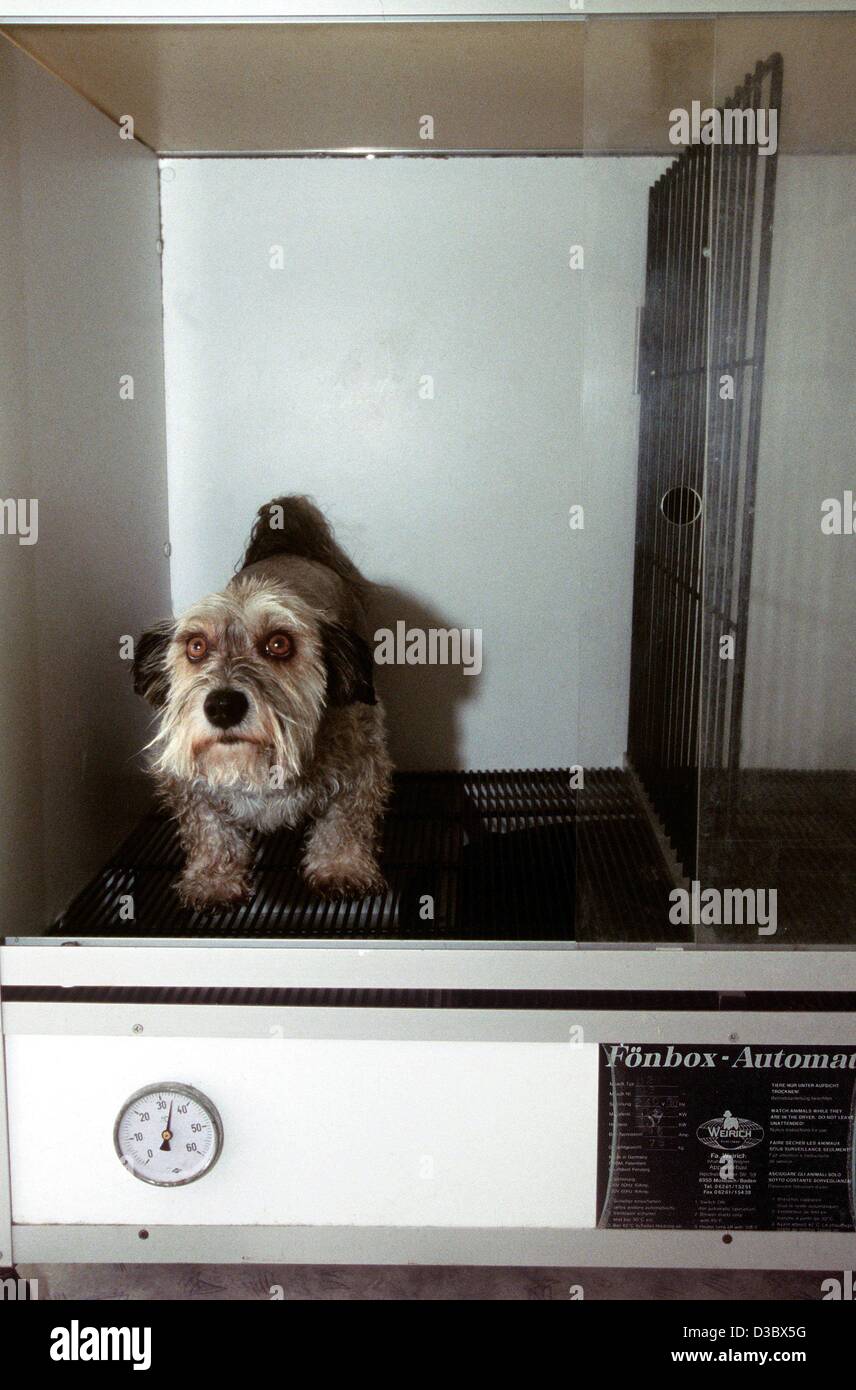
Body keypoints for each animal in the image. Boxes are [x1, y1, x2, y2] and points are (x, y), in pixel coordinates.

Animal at [132, 494, 391, 906]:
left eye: (279, 644)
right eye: (196, 646)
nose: (222, 706)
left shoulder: (363, 766)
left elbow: (344, 824)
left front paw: (341, 867)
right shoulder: (189, 787)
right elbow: (211, 833)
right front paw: (214, 879)